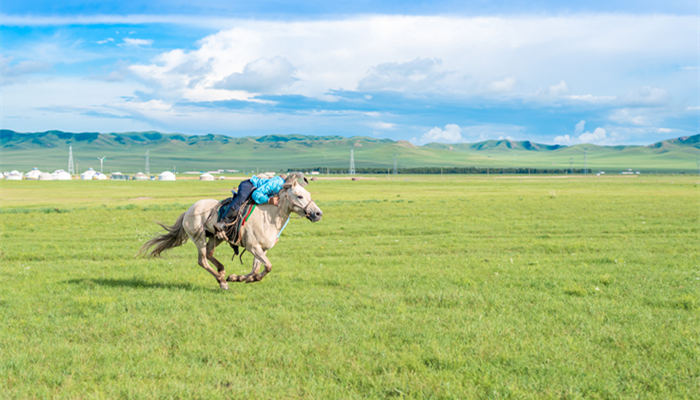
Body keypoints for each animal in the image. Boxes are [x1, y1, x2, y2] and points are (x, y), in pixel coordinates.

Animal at [140, 173, 326, 290]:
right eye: (300, 196)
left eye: (309, 194)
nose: (318, 214)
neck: (269, 216)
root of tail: (188, 210)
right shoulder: (253, 247)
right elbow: (267, 267)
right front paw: (239, 279)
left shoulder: (261, 249)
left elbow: (257, 269)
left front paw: (239, 277)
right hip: (199, 238)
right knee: (203, 260)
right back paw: (222, 282)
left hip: (216, 237)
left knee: (209, 254)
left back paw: (222, 272)